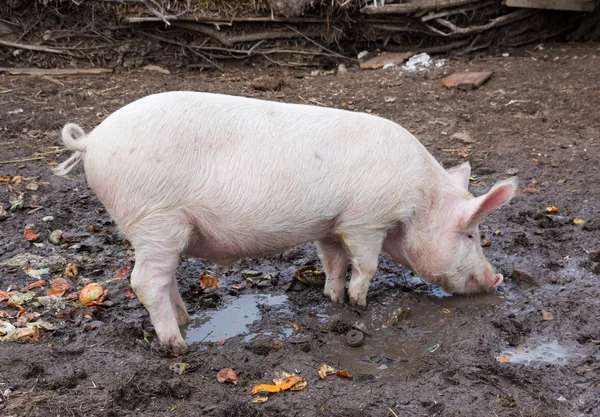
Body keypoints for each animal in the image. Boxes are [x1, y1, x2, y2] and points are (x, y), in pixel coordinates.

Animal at [54, 92, 516, 350]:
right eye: (471, 234)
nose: (497, 279)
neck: (418, 200)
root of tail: (92, 140)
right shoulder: (366, 220)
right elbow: (366, 265)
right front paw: (361, 305)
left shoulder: (331, 225)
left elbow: (333, 262)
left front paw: (333, 299)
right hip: (155, 219)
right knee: (144, 281)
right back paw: (178, 345)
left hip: (160, 230)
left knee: (163, 279)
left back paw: (185, 321)